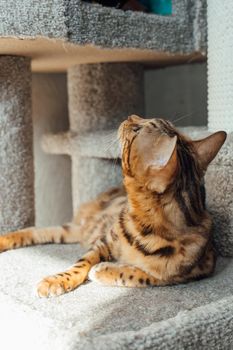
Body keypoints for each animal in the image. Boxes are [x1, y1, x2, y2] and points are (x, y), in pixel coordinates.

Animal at [0, 116, 227, 296]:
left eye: (137, 130)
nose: (130, 116)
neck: (144, 229)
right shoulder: (104, 241)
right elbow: (81, 263)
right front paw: (57, 280)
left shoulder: (179, 275)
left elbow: (138, 275)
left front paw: (103, 270)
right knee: (34, 230)